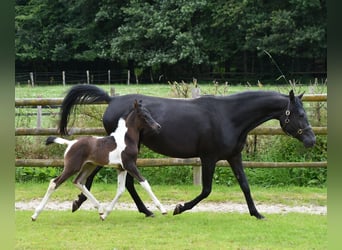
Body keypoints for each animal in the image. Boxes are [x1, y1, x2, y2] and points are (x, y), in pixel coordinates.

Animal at [31, 100, 166, 221]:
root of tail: (70, 143)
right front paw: (162, 209)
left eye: (149, 113)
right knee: (54, 183)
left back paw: (100, 209)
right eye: (144, 115)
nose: (158, 126)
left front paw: (105, 215)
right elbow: (145, 183)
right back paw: (35, 215)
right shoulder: (130, 165)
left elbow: (121, 190)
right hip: (72, 167)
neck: (126, 139)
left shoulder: (121, 168)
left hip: (88, 166)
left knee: (78, 182)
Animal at [58, 85, 316, 219]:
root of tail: (111, 101)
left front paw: (256, 213)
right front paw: (179, 208)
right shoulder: (209, 158)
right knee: (100, 176)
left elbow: (244, 185)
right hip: (121, 150)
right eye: (299, 114)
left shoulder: (234, 156)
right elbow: (206, 190)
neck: (229, 116)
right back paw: (82, 202)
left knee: (124, 181)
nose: (311, 140)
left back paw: (144, 210)